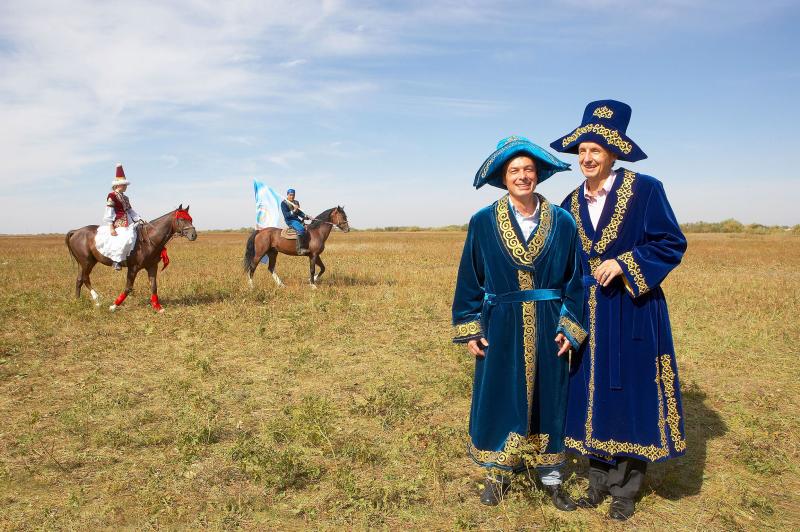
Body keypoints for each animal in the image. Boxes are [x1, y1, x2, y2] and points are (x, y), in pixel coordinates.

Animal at [65, 204, 197, 312]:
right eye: (181, 219)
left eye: (190, 219)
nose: (193, 235)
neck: (148, 240)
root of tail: (76, 231)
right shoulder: (133, 268)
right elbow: (128, 288)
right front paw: (113, 306)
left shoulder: (152, 267)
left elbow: (154, 286)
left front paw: (158, 307)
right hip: (87, 262)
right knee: (85, 278)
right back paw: (97, 299)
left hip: (85, 263)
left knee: (79, 279)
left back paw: (78, 300)